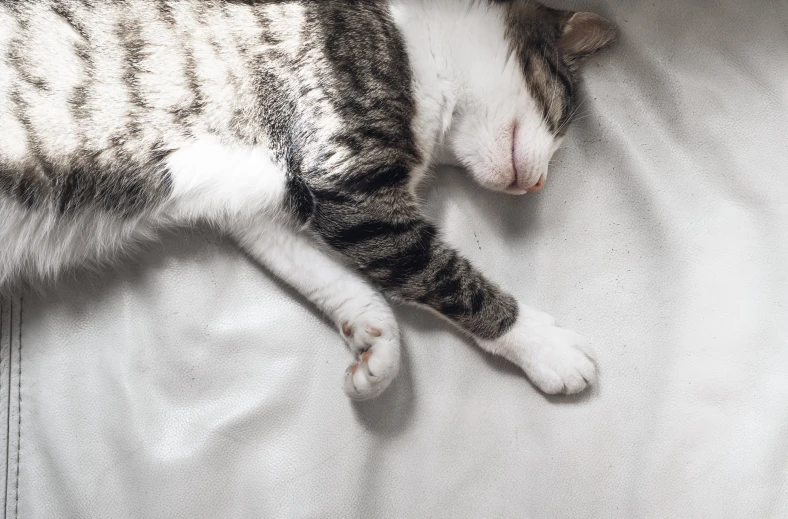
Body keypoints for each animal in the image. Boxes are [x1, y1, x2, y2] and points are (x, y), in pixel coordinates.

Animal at [0, 0, 616, 402]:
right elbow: (443, 276)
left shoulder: (259, 207)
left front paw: (376, 346)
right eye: (562, 117)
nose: (538, 185)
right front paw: (544, 347)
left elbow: (333, 277)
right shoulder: (348, 182)